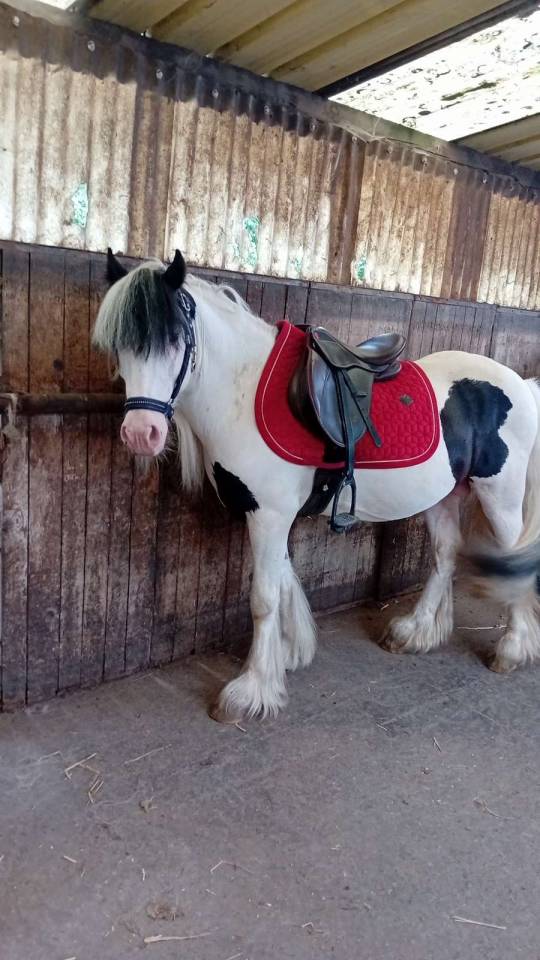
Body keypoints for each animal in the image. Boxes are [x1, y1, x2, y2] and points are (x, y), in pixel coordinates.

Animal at [93, 249, 540, 722]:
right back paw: (416, 632)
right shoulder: (270, 515)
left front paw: (251, 690)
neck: (242, 394)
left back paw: (512, 649)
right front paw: (288, 654)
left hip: (501, 498)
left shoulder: (269, 515)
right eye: (119, 346)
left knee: (516, 558)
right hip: (444, 494)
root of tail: (520, 384)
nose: (141, 434)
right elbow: (284, 582)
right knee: (445, 554)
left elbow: (264, 597)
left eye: (175, 339)